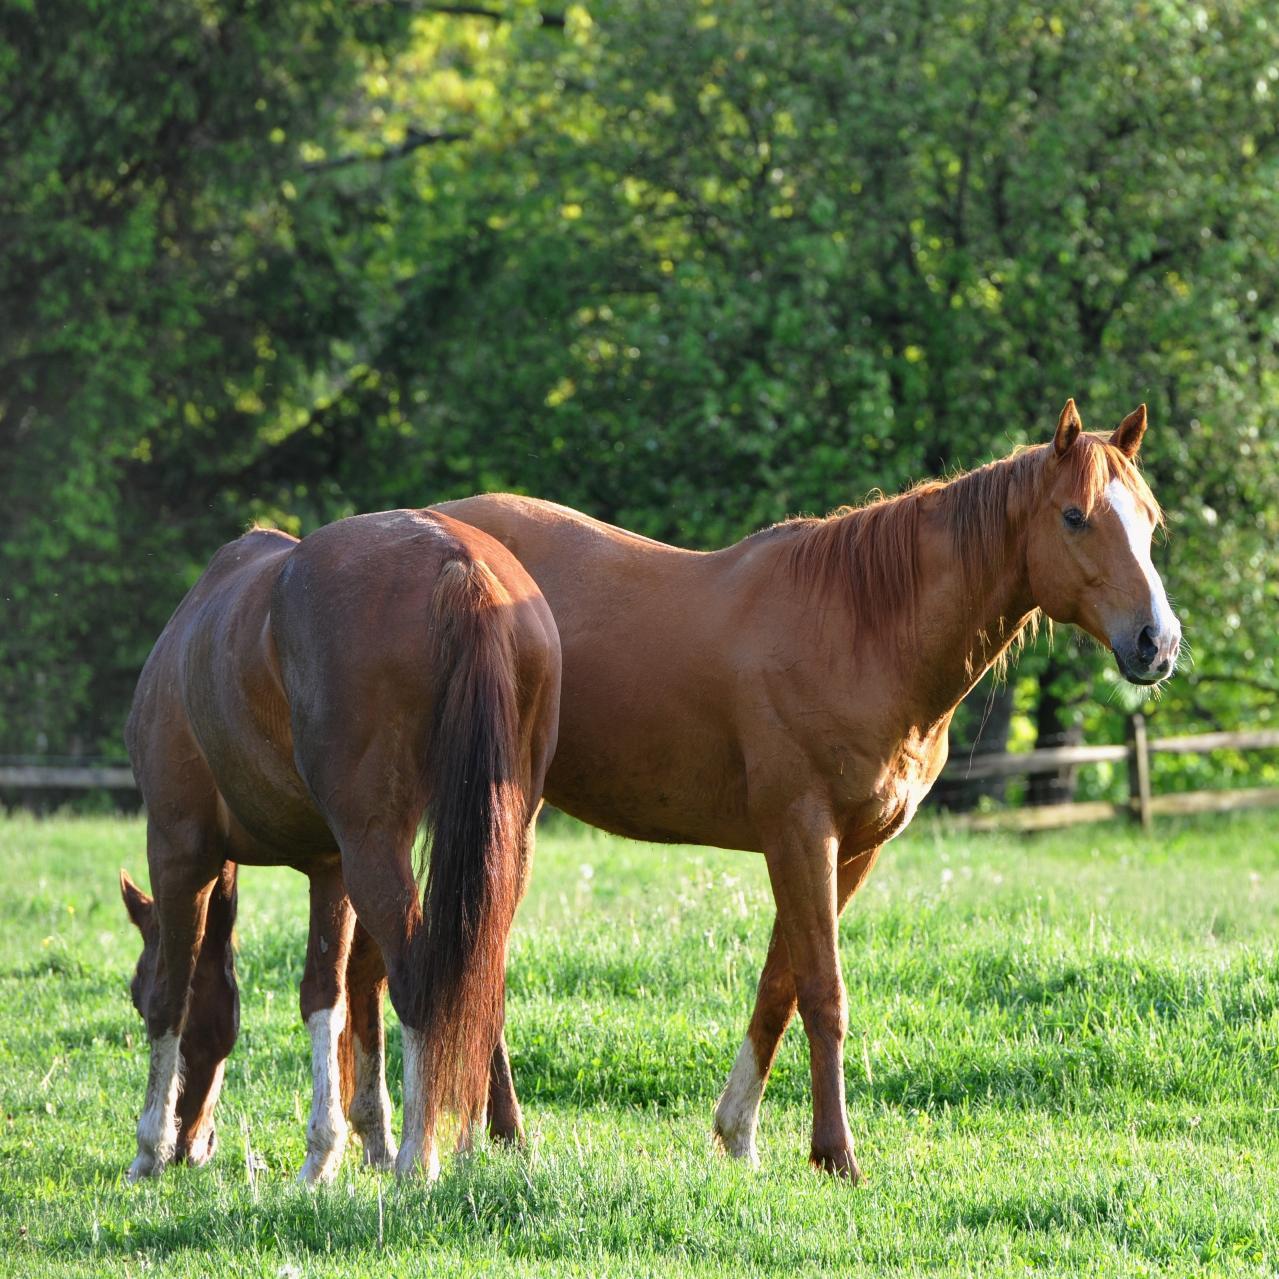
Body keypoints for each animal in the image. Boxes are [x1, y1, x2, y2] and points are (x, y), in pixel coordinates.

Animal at [120, 506, 560, 1176]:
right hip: (502, 847)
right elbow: (338, 993)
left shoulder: (179, 850)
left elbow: (177, 992)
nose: (192, 1145)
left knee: (419, 980)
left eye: (133, 996)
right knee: (472, 984)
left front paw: (149, 1147)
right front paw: (352, 1142)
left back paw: (418, 1159)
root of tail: (458, 563)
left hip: (368, 847)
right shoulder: (331, 866)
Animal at [437, 399, 1176, 1176]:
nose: (1156, 643)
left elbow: (779, 986)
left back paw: (504, 1134)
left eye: (1149, 521)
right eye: (1074, 516)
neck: (860, 632)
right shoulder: (799, 834)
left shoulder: (852, 848)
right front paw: (835, 1153)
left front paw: (738, 1132)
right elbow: (823, 993)